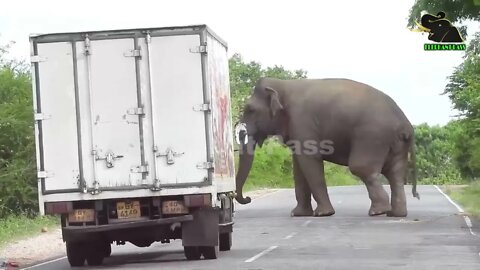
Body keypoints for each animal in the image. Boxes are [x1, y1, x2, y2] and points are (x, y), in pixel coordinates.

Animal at [234, 76, 418, 217]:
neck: (283, 85)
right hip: (395, 144)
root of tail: (406, 125)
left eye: (250, 110)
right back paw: (395, 214)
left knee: (362, 168)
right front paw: (298, 214)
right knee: (395, 174)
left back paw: (378, 212)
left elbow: (309, 161)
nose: (248, 199)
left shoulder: (302, 121)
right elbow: (298, 167)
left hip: (372, 137)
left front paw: (323, 214)